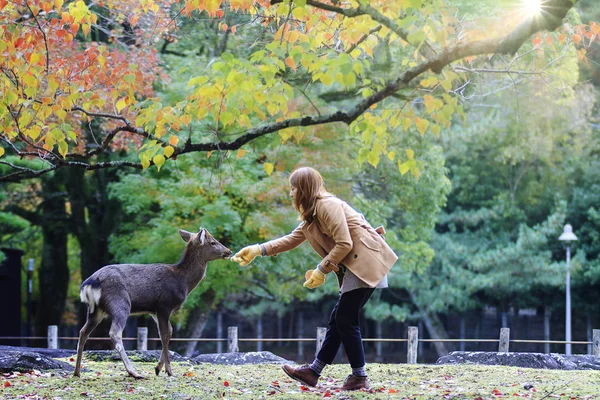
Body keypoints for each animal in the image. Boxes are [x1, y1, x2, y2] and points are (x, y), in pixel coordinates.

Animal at [73, 228, 232, 378]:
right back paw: (133, 372)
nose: (229, 251)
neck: (183, 282)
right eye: (213, 242)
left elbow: (169, 332)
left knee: (83, 332)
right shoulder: (164, 305)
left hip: (95, 310)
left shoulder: (154, 310)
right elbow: (165, 334)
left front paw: (158, 368)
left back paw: (77, 372)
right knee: (115, 333)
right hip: (120, 303)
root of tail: (89, 283)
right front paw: (169, 371)